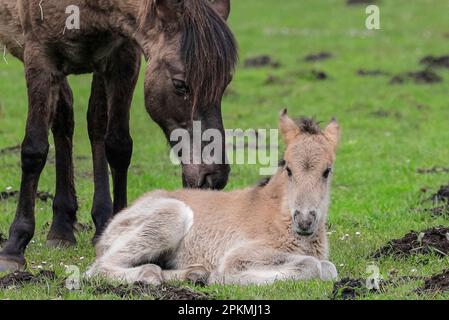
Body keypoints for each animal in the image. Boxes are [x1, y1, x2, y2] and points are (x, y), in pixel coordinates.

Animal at [0, 0, 238, 272]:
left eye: (225, 83)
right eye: (180, 84)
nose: (214, 177)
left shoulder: (123, 55)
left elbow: (118, 145)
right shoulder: (40, 57)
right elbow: (34, 150)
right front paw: (13, 247)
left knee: (85, 122)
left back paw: (72, 225)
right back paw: (61, 229)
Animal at [86, 110, 340, 284]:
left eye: (327, 171)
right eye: (288, 168)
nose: (305, 220)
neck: (281, 216)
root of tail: (111, 225)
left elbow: (329, 268)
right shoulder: (241, 255)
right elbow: (312, 265)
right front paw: (226, 278)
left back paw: (195, 274)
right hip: (170, 217)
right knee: (98, 268)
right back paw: (152, 274)